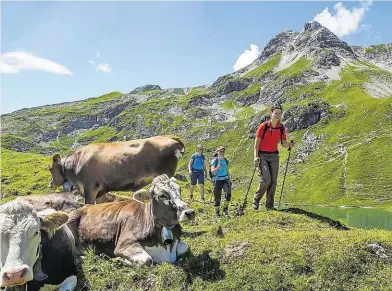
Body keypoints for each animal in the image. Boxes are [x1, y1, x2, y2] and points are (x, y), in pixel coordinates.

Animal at [68, 175, 196, 268]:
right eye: (162, 195)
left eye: (179, 190)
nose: (189, 212)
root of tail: (85, 207)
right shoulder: (124, 243)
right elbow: (147, 260)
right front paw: (118, 259)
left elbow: (184, 247)